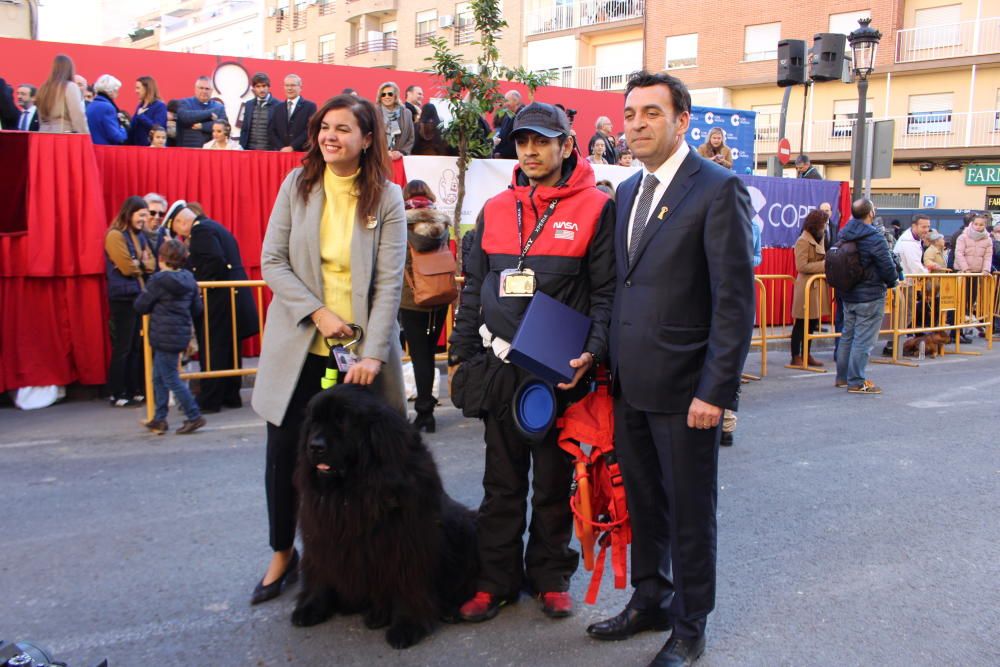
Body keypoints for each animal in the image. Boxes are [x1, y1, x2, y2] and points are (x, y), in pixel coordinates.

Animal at [292, 384, 478, 648]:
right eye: (314, 421)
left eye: (342, 421)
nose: (315, 446)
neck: (353, 490)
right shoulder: (322, 534)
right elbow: (319, 571)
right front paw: (311, 607)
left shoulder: (404, 543)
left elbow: (406, 581)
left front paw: (406, 626)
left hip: (467, 527)